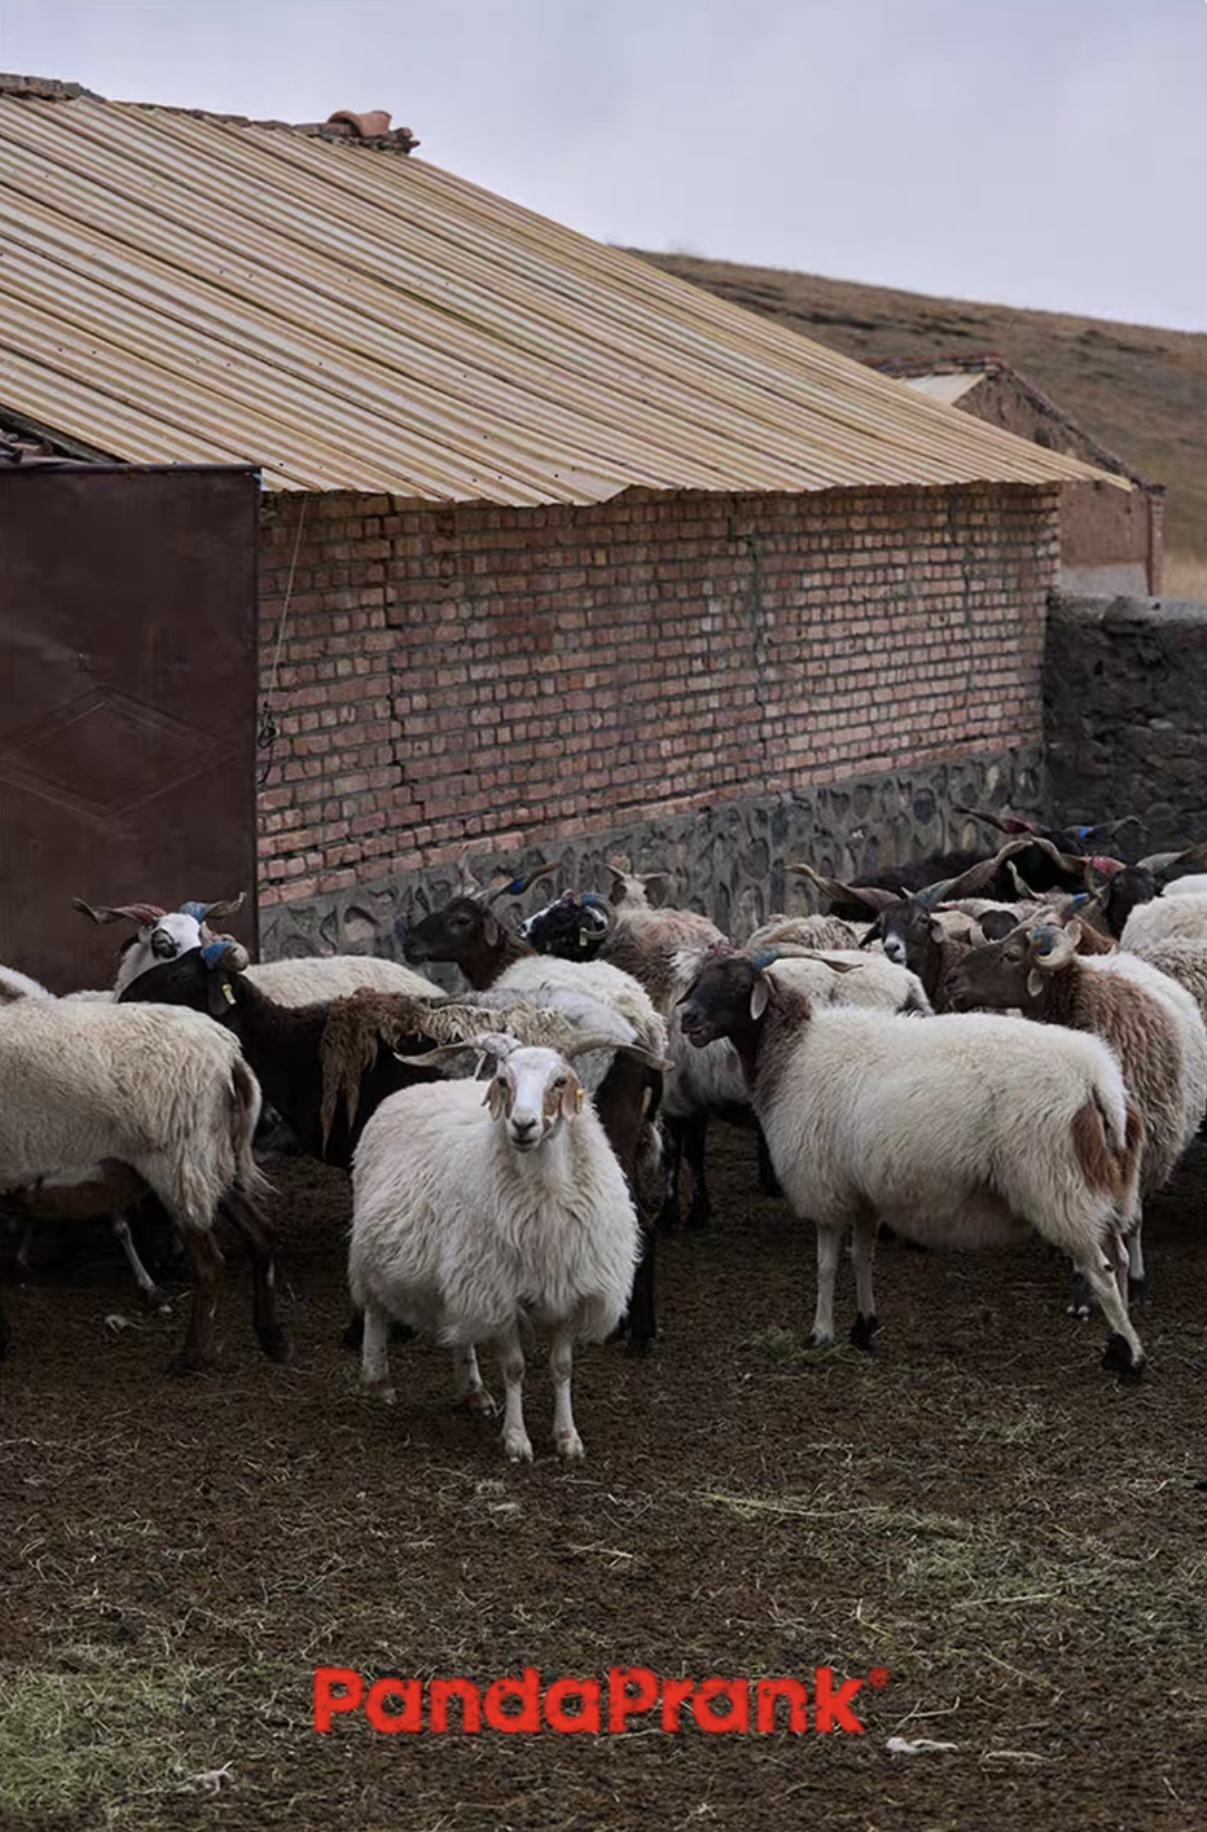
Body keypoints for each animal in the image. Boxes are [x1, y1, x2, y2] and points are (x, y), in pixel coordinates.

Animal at [0, 994, 286, 1371]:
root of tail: (229, 1056)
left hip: (178, 1163)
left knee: (211, 1263)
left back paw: (192, 1357)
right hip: (214, 1160)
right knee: (262, 1234)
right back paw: (273, 1339)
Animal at [349, 1032, 649, 1461]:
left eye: (560, 1081)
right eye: (504, 1081)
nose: (522, 1125)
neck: (546, 1194)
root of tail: (426, 1087)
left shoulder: (568, 1293)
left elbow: (562, 1368)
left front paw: (567, 1438)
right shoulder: (502, 1293)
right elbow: (514, 1368)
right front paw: (517, 1440)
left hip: (462, 1273)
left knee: (459, 1327)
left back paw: (472, 1391)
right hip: (372, 1252)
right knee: (375, 1310)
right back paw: (378, 1380)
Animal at [676, 951, 1146, 1377]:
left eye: (740, 985)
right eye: (700, 978)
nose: (688, 1018)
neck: (794, 1053)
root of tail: (1096, 1079)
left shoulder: (824, 1186)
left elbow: (826, 1266)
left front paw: (820, 1333)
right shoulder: (861, 1190)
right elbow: (861, 1257)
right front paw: (864, 1328)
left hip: (1056, 1183)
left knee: (1102, 1270)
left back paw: (1132, 1359)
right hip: (1097, 1185)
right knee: (1120, 1258)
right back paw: (1118, 1344)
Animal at [948, 919, 1207, 1308]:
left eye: (1011, 955)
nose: (951, 980)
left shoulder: (1143, 1147)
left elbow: (1133, 1221)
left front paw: (1136, 1283)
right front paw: (1083, 1290)